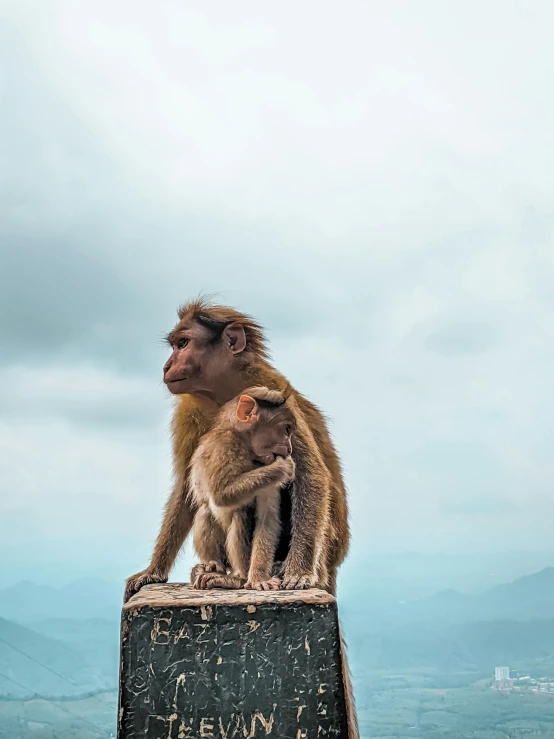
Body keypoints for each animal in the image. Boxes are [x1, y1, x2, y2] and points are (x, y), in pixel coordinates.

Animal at [189, 388, 296, 588]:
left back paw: (238, 577)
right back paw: (218, 568)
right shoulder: (224, 445)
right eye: (286, 429)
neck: (247, 449)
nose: (289, 449)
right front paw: (281, 467)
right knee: (210, 509)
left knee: (238, 512)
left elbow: (267, 517)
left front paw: (259, 579)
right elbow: (220, 495)